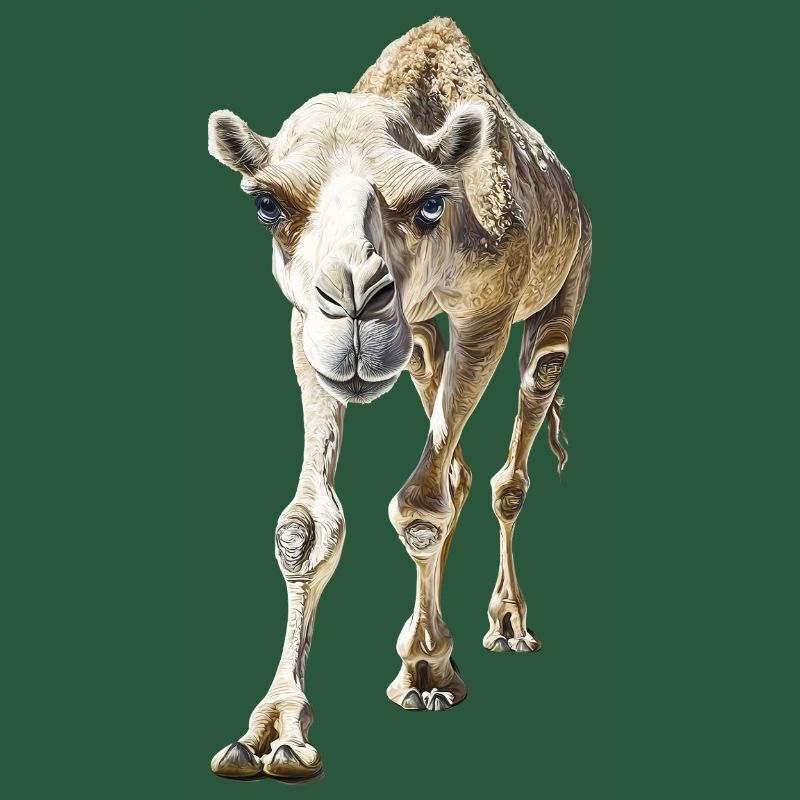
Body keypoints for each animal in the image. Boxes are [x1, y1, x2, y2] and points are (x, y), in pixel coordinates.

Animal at [207, 17, 591, 781]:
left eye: (431, 202)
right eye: (267, 205)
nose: (354, 300)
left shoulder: (487, 314)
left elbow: (420, 506)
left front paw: (426, 673)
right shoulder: (304, 325)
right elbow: (306, 526)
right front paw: (271, 732)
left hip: (567, 282)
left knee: (523, 423)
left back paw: (505, 627)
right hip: (415, 336)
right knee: (455, 456)